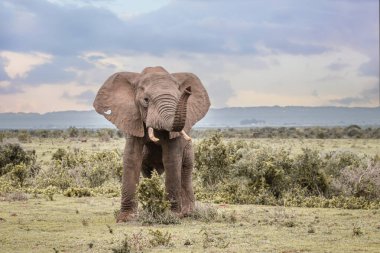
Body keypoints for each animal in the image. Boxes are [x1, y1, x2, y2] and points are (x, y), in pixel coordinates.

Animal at [92, 66, 211, 222]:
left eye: (179, 96)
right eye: (146, 100)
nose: (189, 90)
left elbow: (171, 159)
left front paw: (172, 215)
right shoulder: (132, 119)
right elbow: (132, 158)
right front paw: (125, 219)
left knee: (185, 172)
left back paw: (187, 213)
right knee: (148, 172)